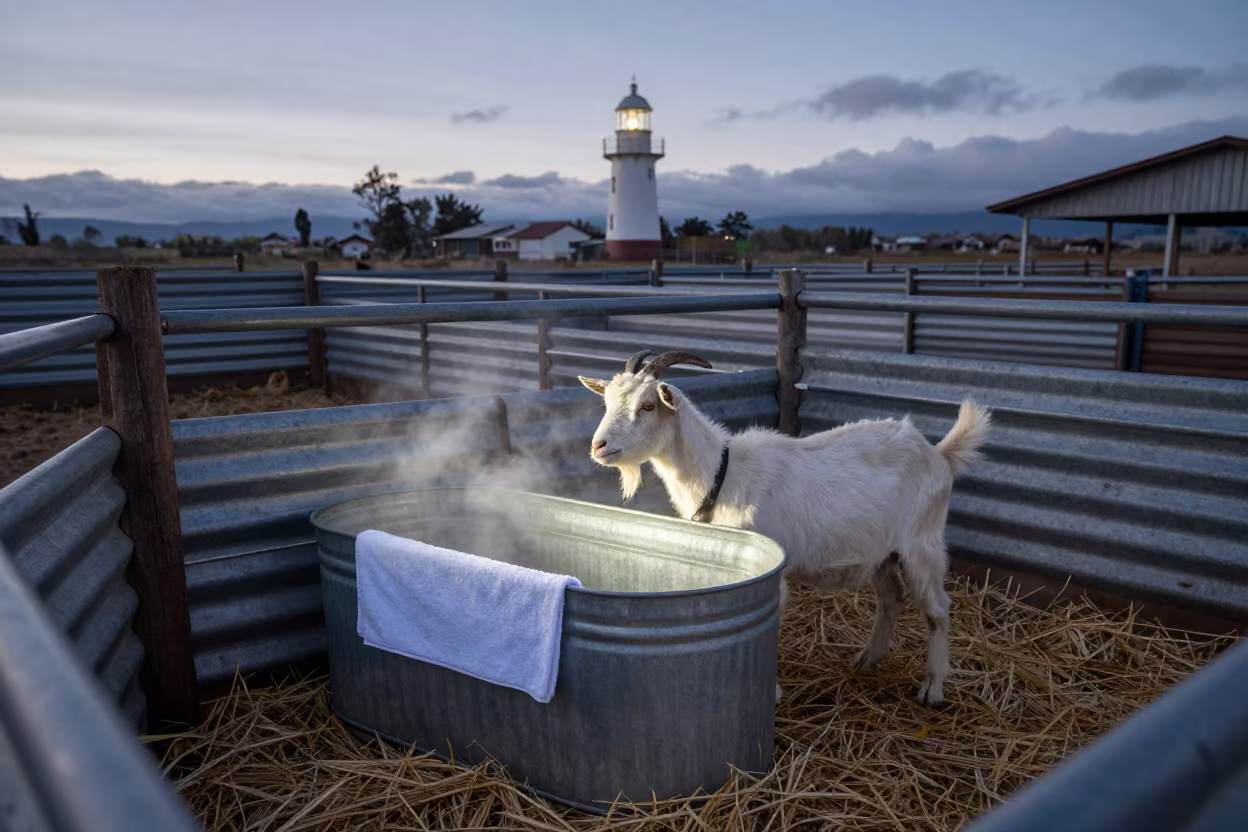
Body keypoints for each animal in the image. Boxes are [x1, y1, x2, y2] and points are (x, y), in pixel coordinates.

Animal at [579, 350, 991, 706]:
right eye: (608, 402)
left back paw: (933, 689)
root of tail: (938, 454)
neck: (721, 475)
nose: (598, 446)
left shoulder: (770, 568)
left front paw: (772, 693)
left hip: (922, 543)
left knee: (937, 609)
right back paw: (868, 658)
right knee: (891, 598)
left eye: (648, 406)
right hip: (882, 552)